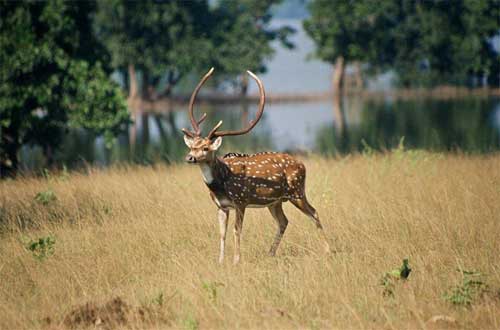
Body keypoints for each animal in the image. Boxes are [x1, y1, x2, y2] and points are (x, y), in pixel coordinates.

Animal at [182, 68, 330, 264]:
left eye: (206, 148)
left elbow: (237, 230)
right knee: (284, 221)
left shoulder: (240, 200)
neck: (221, 183)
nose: (189, 157)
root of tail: (302, 164)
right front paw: (220, 261)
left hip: (297, 191)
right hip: (275, 201)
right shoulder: (221, 206)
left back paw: (328, 249)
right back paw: (270, 253)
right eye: (191, 146)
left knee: (314, 212)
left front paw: (236, 260)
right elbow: (222, 233)